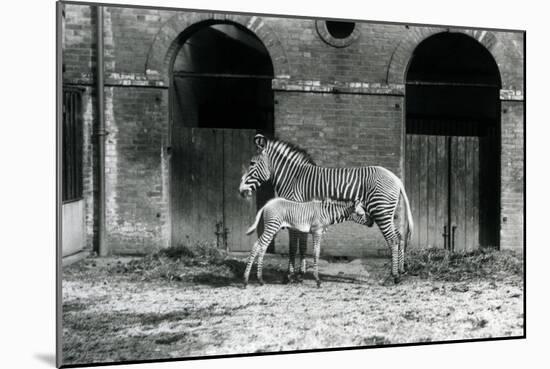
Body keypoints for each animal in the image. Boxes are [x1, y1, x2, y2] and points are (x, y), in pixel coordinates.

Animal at [238, 134, 414, 284]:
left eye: (252, 164)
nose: (241, 191)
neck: (294, 178)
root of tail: (396, 179)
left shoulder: (294, 212)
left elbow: (293, 246)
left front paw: (290, 275)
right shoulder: (300, 216)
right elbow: (302, 245)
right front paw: (300, 274)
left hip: (381, 211)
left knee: (392, 239)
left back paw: (395, 276)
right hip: (388, 213)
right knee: (399, 237)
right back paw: (401, 271)